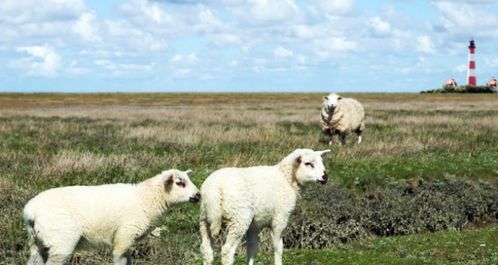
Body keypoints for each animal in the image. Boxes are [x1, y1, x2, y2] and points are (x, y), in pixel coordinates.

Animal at [21, 168, 200, 262]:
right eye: (179, 183)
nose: (198, 195)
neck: (145, 199)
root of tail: (31, 211)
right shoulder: (124, 236)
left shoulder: (127, 240)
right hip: (61, 241)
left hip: (38, 243)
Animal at [198, 147, 330, 262]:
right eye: (308, 163)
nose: (325, 177)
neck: (286, 178)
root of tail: (214, 187)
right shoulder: (279, 219)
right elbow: (278, 248)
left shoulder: (254, 225)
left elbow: (252, 248)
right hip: (238, 219)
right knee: (227, 251)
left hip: (205, 219)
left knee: (206, 250)